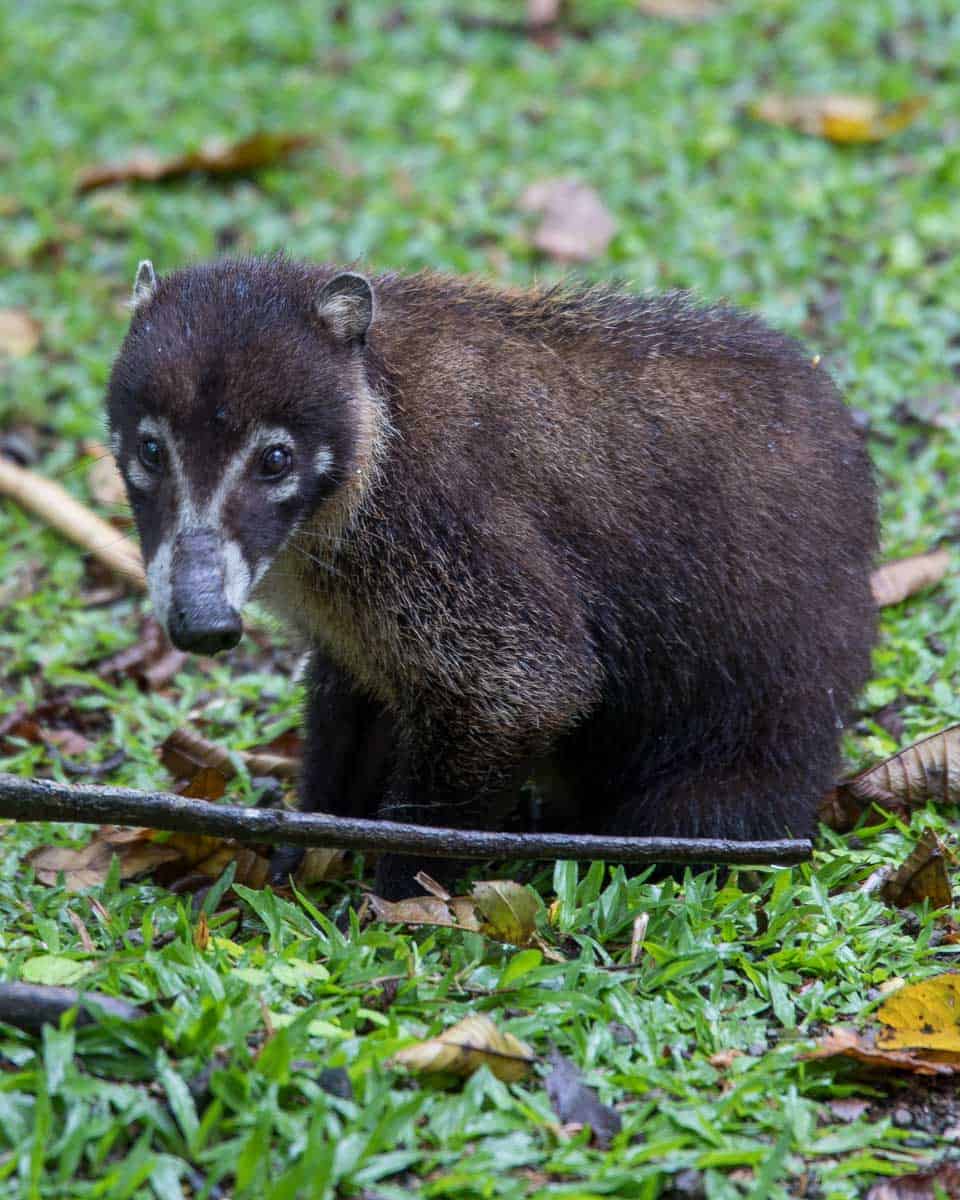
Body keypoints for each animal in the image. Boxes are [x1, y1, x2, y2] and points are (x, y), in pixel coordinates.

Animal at [106, 255, 876, 898]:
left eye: (274, 460)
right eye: (150, 449)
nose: (203, 623)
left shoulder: (447, 530)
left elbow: (523, 693)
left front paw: (396, 896)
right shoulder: (356, 622)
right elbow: (348, 702)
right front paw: (303, 848)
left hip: (755, 728)